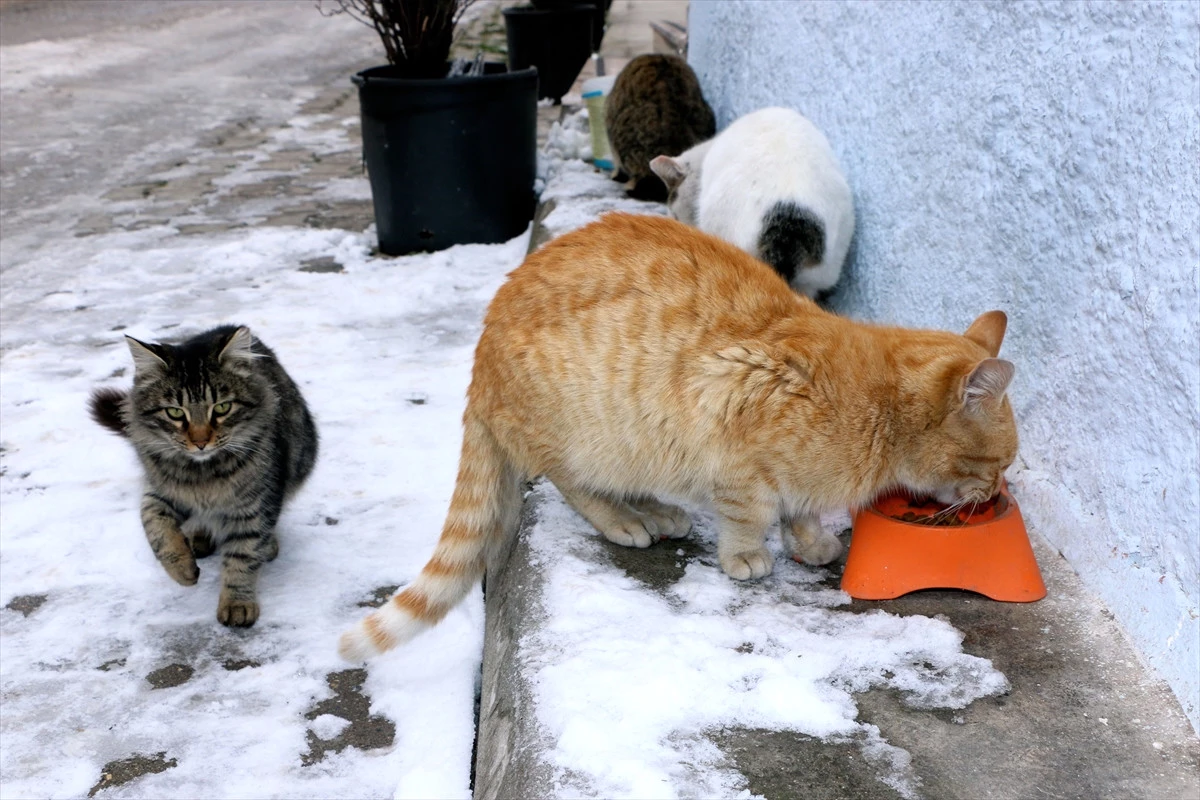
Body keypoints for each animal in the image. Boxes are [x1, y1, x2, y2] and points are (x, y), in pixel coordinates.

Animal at [90, 323, 319, 623]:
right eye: (175, 412)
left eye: (222, 407)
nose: (200, 442)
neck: (203, 475)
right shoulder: (159, 490)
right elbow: (155, 527)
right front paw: (182, 570)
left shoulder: (256, 504)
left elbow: (243, 555)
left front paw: (237, 603)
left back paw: (267, 546)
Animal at [338, 211, 1012, 657]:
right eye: (1001, 463)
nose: (995, 495)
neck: (875, 403)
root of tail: (480, 361)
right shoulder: (735, 435)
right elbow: (750, 512)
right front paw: (748, 555)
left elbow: (799, 509)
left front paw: (811, 539)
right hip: (593, 435)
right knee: (568, 482)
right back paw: (626, 521)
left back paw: (657, 511)